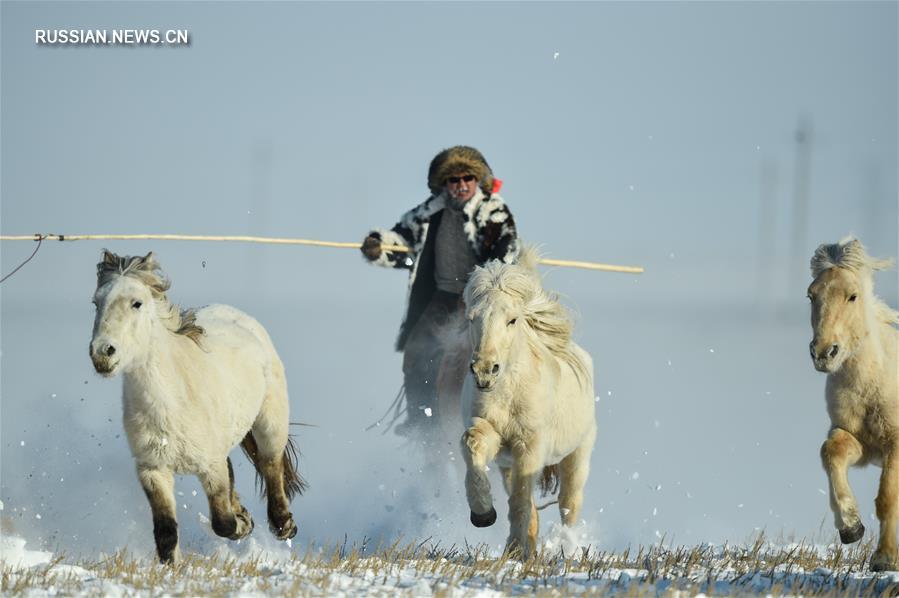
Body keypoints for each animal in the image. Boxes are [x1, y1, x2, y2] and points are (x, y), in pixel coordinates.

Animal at [88, 251, 306, 564]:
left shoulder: (211, 467)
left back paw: (283, 525)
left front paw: (242, 524)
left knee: (271, 464)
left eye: (136, 303)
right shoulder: (152, 470)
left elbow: (222, 522)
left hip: (270, 422)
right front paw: (173, 566)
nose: (102, 353)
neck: (172, 402)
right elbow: (166, 530)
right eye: (96, 302)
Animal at [458, 250, 596, 564]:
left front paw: (517, 552)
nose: (485, 371)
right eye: (472, 318)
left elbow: (521, 502)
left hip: (578, 455)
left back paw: (567, 549)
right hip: (509, 465)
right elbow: (472, 445)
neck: (509, 393)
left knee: (569, 504)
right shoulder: (493, 435)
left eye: (512, 320)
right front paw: (483, 515)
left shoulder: (530, 445)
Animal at [808, 237, 899, 576]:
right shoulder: (859, 442)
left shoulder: (895, 443)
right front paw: (850, 526)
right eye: (811, 295)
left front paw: (884, 558)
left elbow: (887, 497)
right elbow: (830, 452)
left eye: (852, 296)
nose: (824, 353)